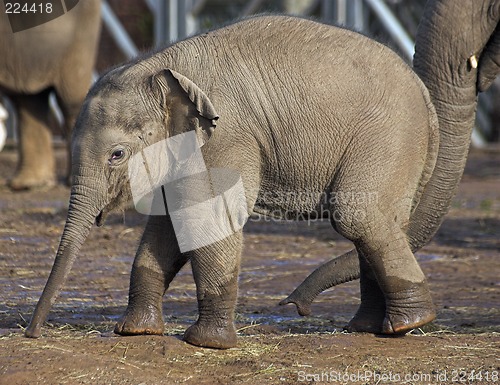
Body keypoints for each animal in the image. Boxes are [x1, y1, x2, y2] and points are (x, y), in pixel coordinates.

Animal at [24, 15, 438, 348]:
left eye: (117, 155)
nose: (31, 333)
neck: (159, 67)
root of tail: (422, 91)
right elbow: (168, 225)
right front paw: (136, 331)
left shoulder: (225, 137)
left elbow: (207, 217)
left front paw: (206, 343)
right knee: (378, 222)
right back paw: (372, 327)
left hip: (388, 134)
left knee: (357, 216)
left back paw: (408, 324)